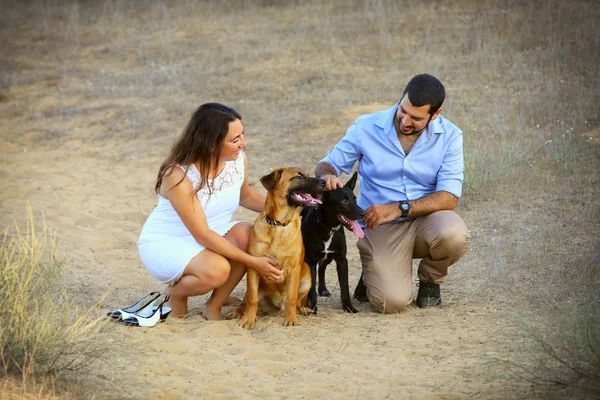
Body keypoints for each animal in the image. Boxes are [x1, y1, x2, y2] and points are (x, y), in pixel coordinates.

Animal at [231, 168, 324, 328]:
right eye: (299, 176)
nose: (324, 182)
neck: (278, 224)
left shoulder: (294, 269)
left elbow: (292, 298)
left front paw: (291, 319)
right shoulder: (253, 268)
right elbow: (252, 299)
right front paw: (248, 320)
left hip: (306, 278)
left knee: (297, 300)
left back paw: (302, 309)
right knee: (245, 301)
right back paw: (237, 312)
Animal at [302, 171, 364, 312]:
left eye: (354, 198)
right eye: (344, 201)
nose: (363, 213)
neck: (329, 229)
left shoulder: (341, 260)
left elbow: (344, 288)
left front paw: (348, 307)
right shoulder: (311, 262)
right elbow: (311, 288)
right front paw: (312, 307)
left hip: (328, 257)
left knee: (322, 266)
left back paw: (322, 289)